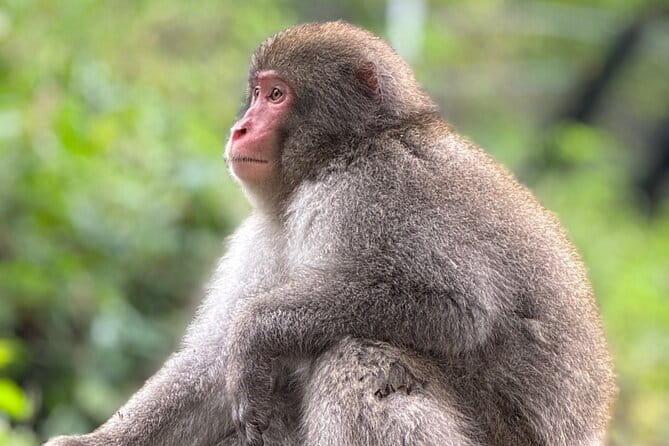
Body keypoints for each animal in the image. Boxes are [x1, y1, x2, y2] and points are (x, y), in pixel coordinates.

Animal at [44, 21, 615, 446]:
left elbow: (455, 307)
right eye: (256, 93)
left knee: (359, 351)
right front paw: (97, 441)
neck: (347, 150)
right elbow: (212, 362)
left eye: (277, 95)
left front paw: (255, 335)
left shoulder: (372, 192)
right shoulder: (266, 231)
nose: (239, 129)